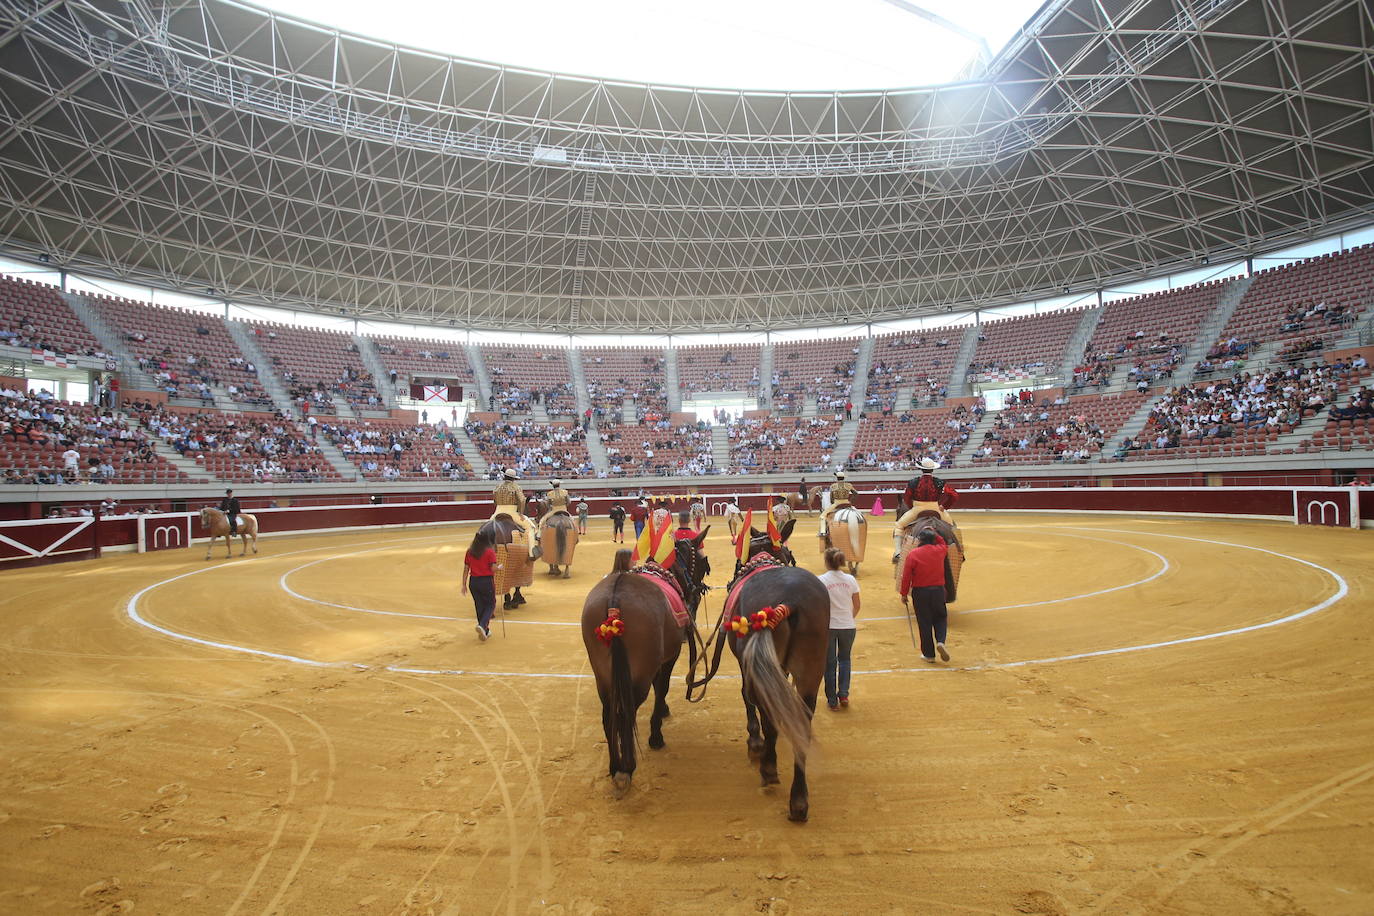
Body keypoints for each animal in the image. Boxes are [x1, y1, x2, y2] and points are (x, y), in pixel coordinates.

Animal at [579, 532, 708, 796]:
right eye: (701, 561)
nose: (696, 591)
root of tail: (615, 598)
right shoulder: (668, 657)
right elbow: (662, 688)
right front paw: (656, 733)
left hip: (602, 673)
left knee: (609, 714)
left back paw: (614, 766)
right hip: (639, 674)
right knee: (626, 711)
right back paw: (626, 768)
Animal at [730, 521, 824, 823]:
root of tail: (788, 601)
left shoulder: (746, 665)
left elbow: (747, 698)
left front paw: (754, 742)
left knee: (769, 714)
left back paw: (769, 768)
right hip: (811, 670)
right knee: (803, 723)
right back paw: (799, 800)